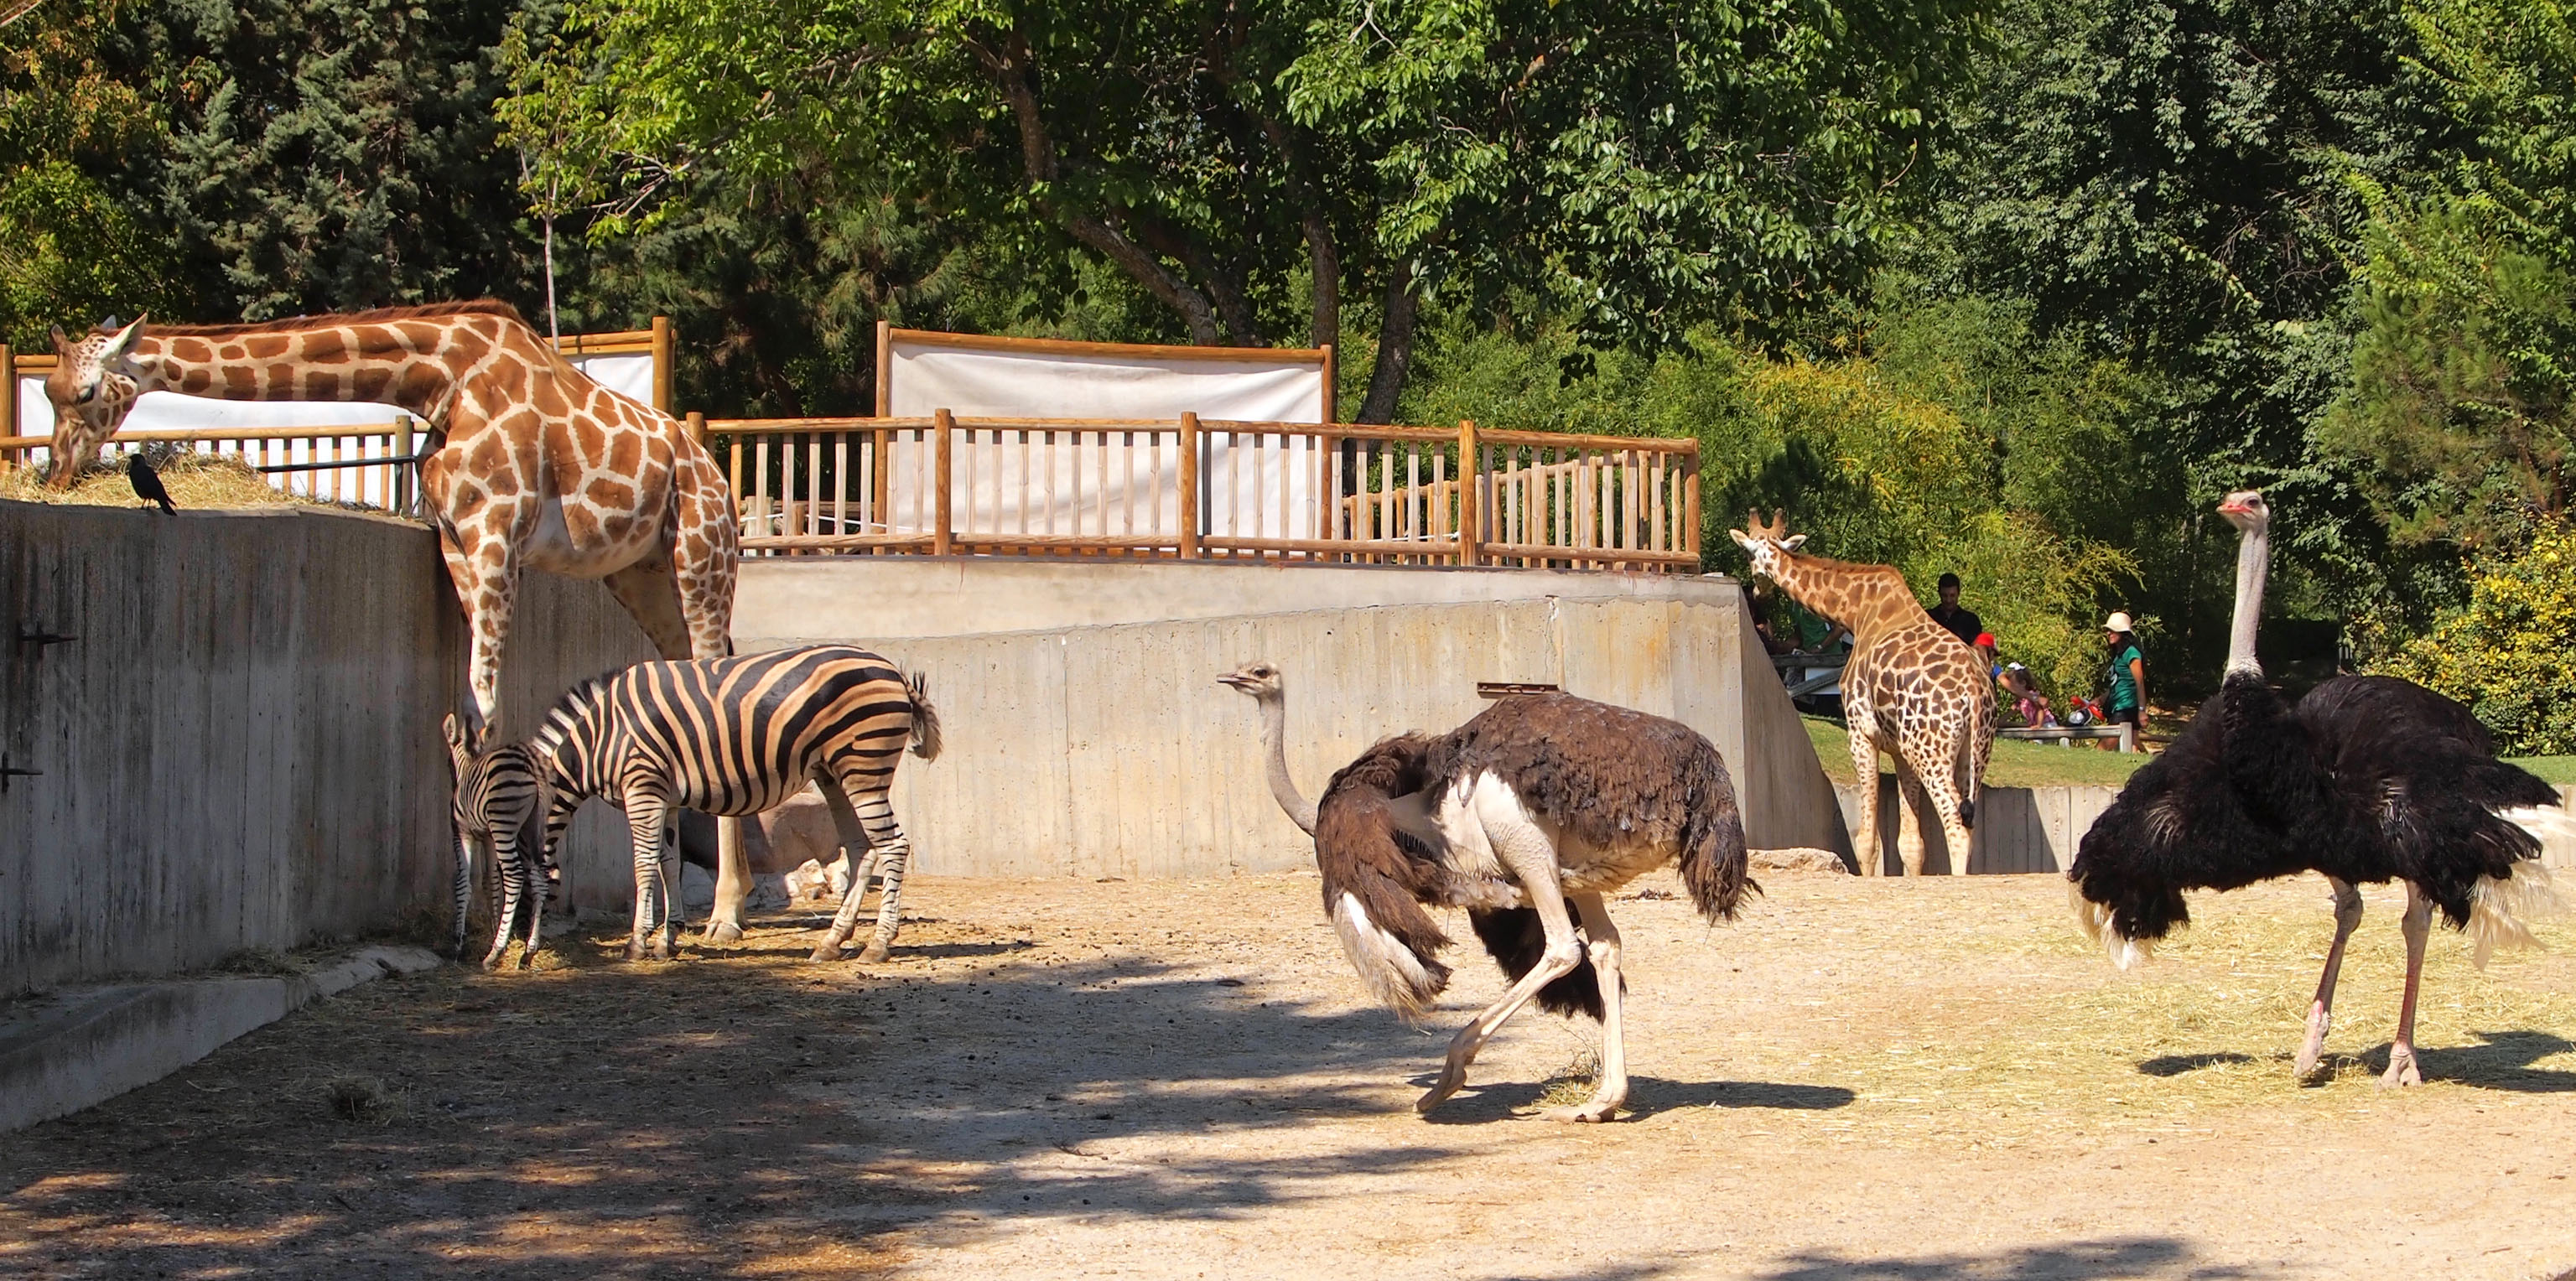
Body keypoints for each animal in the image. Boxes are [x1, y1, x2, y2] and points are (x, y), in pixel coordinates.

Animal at [43, 303, 762, 932]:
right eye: (46, 390)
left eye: (84, 391)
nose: (57, 473)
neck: (439, 381)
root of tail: (715, 474)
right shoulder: (454, 542)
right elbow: (471, 715)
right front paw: (482, 902)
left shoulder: (497, 537)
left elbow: (487, 705)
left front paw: (506, 911)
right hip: (641, 574)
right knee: (682, 689)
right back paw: (673, 903)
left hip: (701, 558)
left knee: (714, 684)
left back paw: (725, 913)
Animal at [443, 721, 553, 968]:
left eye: (447, 762)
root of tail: (532, 770)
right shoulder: (488, 837)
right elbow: (491, 881)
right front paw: (494, 927)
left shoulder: (462, 834)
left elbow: (463, 883)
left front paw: (457, 943)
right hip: (532, 826)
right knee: (539, 876)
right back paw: (528, 951)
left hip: (504, 822)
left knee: (514, 876)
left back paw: (494, 952)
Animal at [466, 644, 948, 963]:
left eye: (514, 886)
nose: (504, 955)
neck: (600, 739)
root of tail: (894, 672)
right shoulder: (664, 798)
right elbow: (667, 862)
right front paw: (669, 938)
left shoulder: (642, 787)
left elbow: (643, 864)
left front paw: (637, 943)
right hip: (834, 775)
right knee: (863, 849)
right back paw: (831, 943)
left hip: (862, 768)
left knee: (894, 846)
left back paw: (878, 945)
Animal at [1731, 510, 1988, 876]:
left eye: (1750, 554)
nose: (1757, 588)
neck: (1856, 610)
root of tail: (1975, 693)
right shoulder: (1900, 748)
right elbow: (1912, 844)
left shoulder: (1861, 732)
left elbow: (1866, 841)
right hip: (1972, 752)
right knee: (1969, 821)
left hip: (1932, 749)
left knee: (1954, 819)